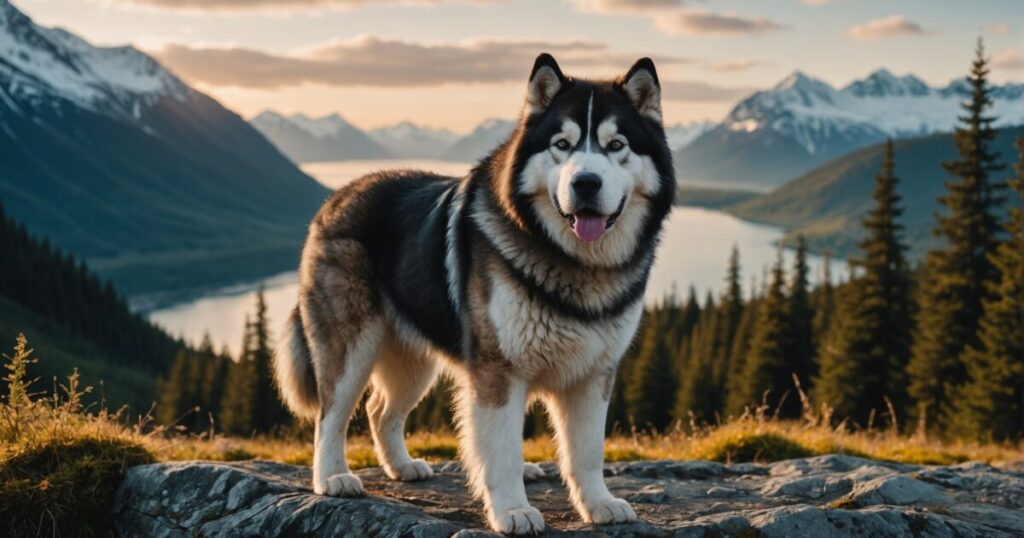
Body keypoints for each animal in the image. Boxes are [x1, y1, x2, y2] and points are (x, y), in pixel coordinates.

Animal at [272, 53, 675, 532]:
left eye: (616, 145)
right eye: (561, 144)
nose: (586, 183)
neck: (573, 262)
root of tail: (337, 196)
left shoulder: (594, 373)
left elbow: (588, 452)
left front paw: (598, 504)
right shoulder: (498, 370)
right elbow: (501, 451)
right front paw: (513, 510)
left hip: (415, 359)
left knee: (379, 410)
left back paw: (402, 466)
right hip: (352, 343)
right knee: (330, 414)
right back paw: (333, 477)